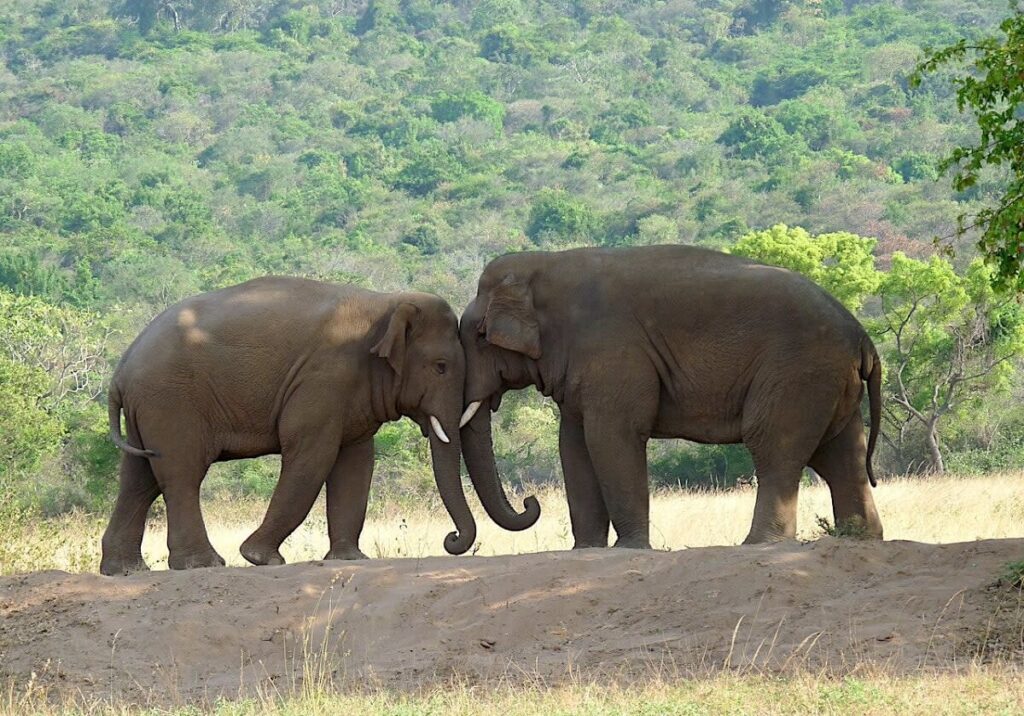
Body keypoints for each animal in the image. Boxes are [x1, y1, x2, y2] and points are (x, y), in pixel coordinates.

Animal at [100, 276, 538, 575]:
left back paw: (125, 570)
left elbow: (356, 464)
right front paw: (260, 558)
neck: (385, 302)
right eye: (442, 366)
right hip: (171, 402)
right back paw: (204, 564)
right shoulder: (325, 379)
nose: (451, 540)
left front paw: (350, 559)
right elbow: (313, 456)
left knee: (139, 478)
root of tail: (121, 372)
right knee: (181, 474)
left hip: (150, 409)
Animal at [456, 246, 883, 549]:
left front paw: (630, 549)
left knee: (774, 446)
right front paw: (586, 550)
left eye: (479, 335)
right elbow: (573, 445)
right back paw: (860, 538)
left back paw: (759, 545)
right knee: (841, 456)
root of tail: (862, 336)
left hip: (798, 373)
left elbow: (612, 436)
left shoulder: (613, 350)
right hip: (829, 381)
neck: (547, 263)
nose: (530, 502)